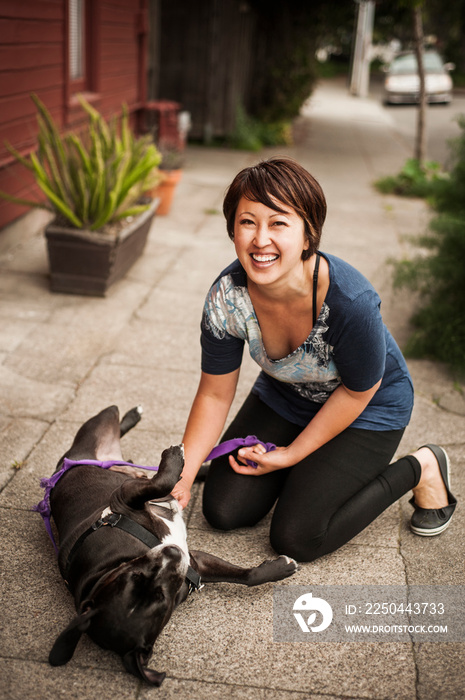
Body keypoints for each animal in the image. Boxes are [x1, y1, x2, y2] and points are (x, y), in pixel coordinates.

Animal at [44, 408, 298, 688]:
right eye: (162, 597)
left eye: (135, 575)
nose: (172, 551)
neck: (111, 568)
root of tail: (62, 469)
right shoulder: (192, 562)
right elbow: (163, 483)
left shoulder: (128, 499)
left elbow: (247, 576)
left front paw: (278, 570)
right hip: (97, 433)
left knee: (124, 432)